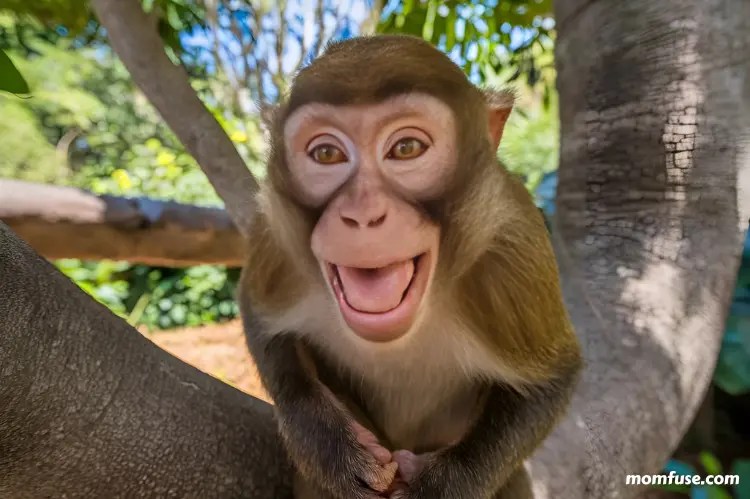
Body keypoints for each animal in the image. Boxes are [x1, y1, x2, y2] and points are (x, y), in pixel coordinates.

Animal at [239, 34, 583, 499]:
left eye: (406, 149)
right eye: (326, 153)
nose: (364, 214)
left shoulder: (513, 250)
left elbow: (553, 379)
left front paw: (443, 483)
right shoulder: (274, 231)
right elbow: (260, 321)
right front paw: (331, 447)